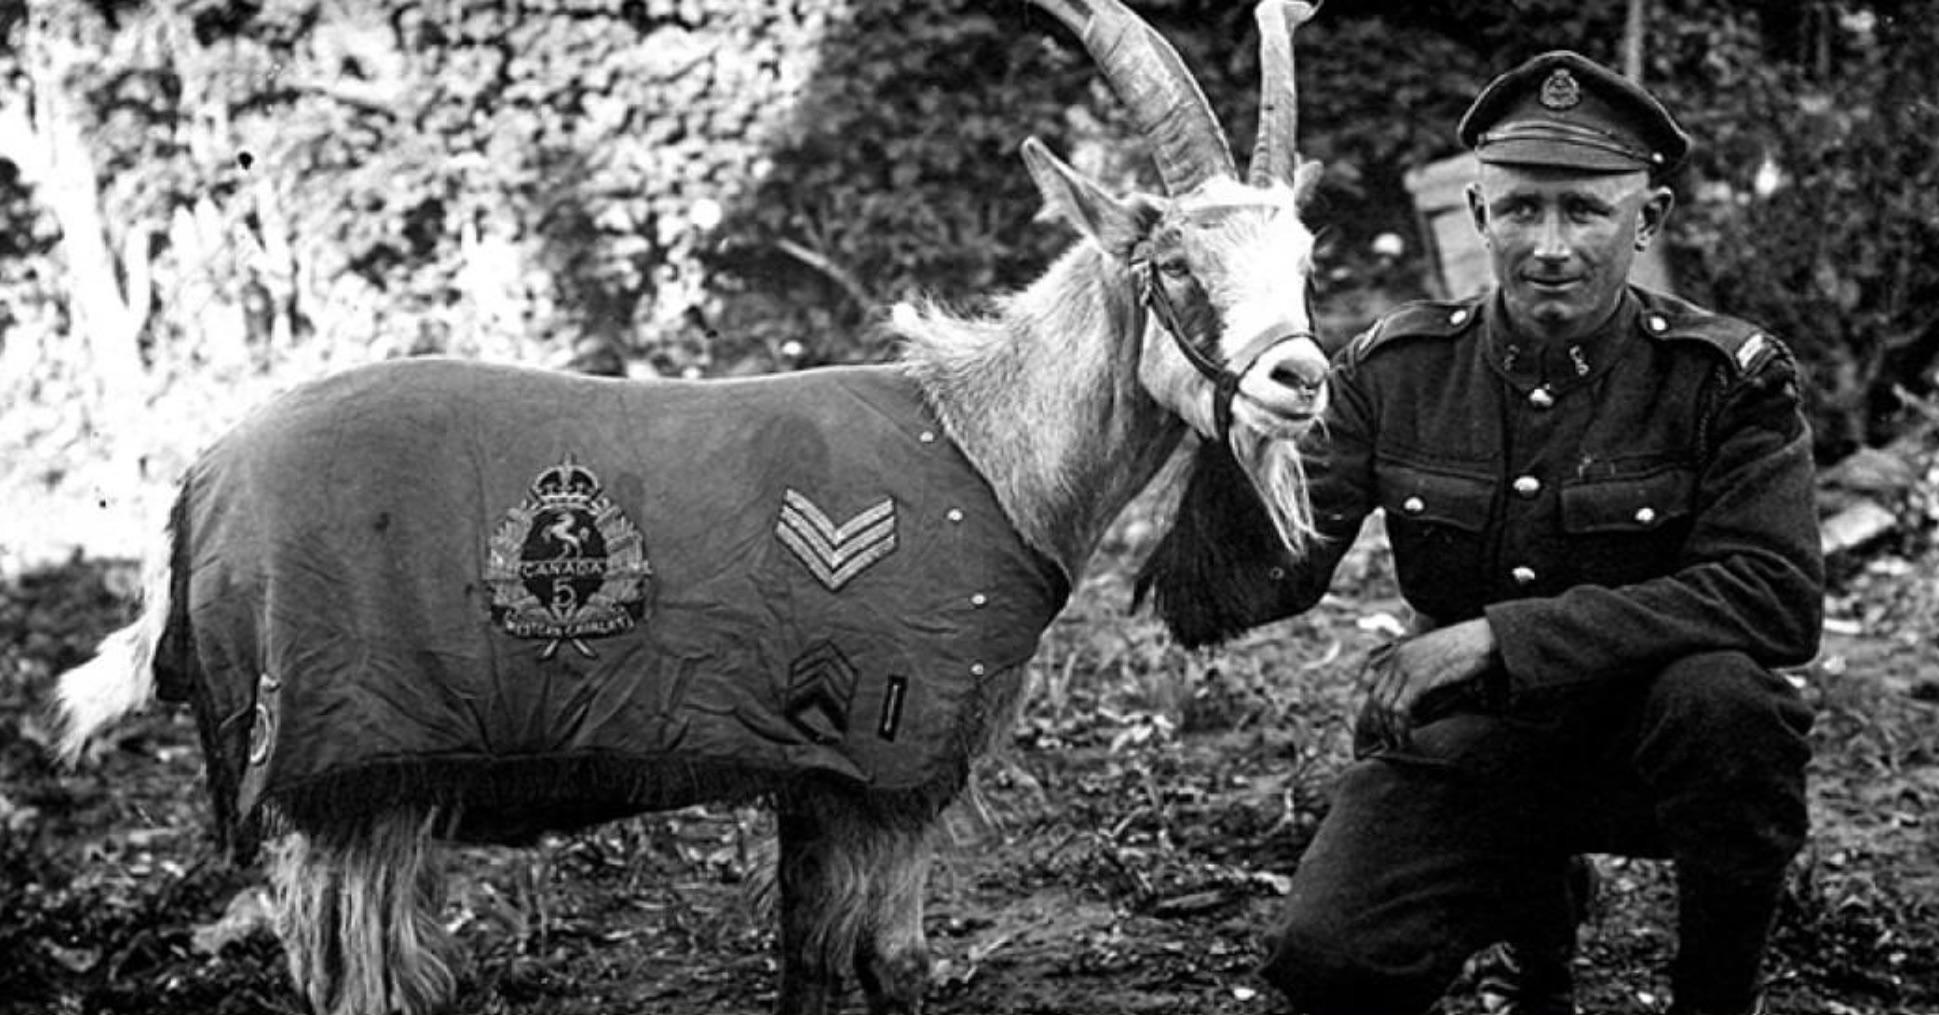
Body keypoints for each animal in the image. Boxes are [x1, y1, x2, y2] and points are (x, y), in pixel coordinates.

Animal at [56, 3, 1334, 1009]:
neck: (986, 444)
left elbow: (811, 961)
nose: (1302, 378)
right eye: (1173, 265)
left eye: (1305, 260)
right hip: (345, 783)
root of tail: (192, 497)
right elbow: (893, 965)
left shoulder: (817, 769)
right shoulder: (897, 759)